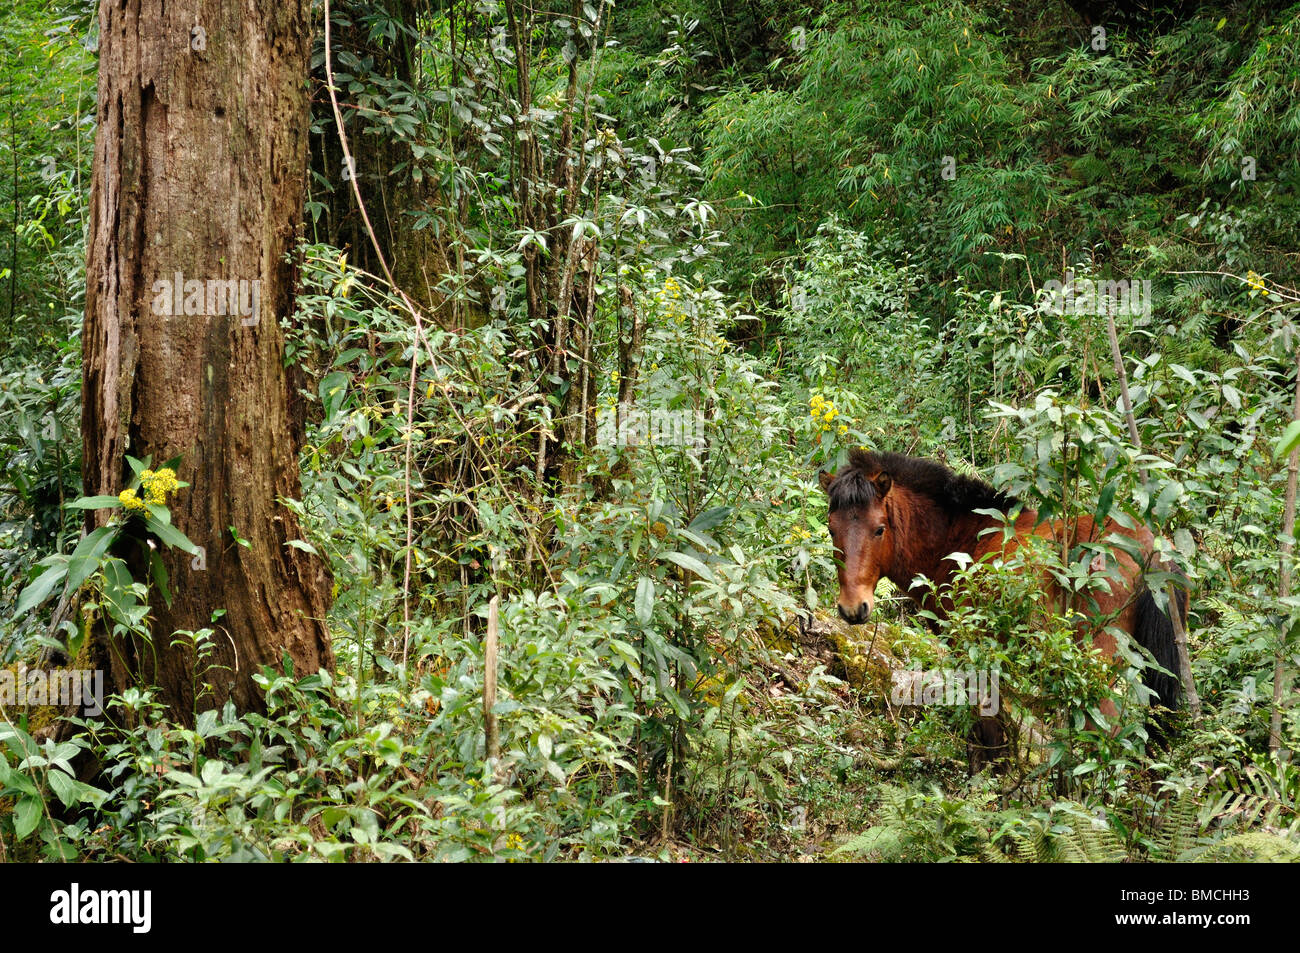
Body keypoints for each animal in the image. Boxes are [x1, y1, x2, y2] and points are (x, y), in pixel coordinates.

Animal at [821, 452, 1190, 759]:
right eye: (831, 530)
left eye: (879, 529)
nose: (853, 608)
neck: (962, 539)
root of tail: (1150, 548)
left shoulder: (969, 648)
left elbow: (986, 723)